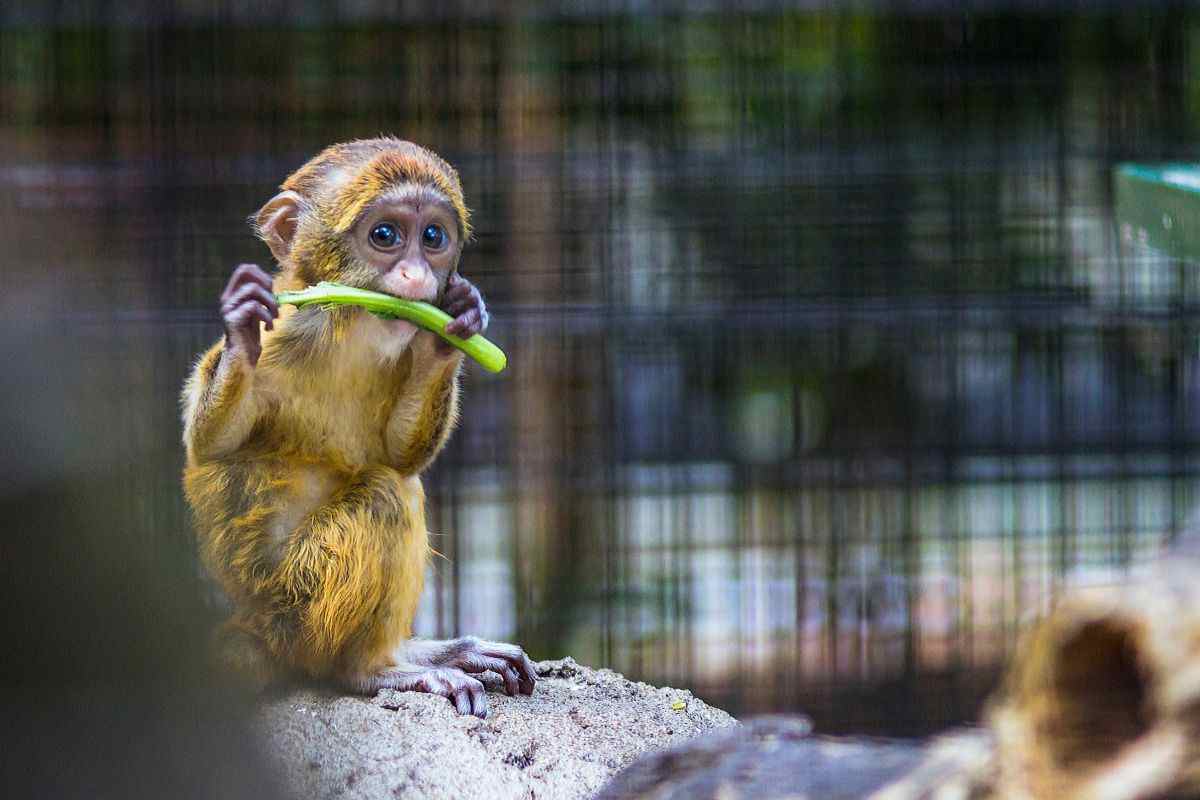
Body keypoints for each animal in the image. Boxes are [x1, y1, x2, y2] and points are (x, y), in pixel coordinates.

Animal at [180, 138, 536, 718]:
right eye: (385, 236)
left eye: (433, 237)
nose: (417, 277)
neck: (349, 328)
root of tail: (255, 627)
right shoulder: (287, 331)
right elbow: (212, 446)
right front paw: (240, 329)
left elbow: (399, 455)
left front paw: (453, 328)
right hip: (297, 605)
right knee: (386, 497)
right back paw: (369, 670)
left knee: (397, 483)